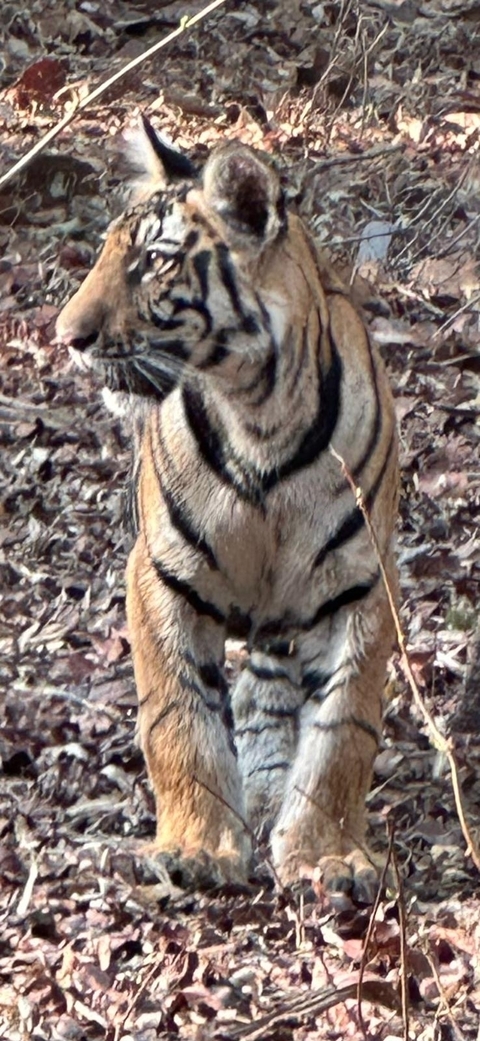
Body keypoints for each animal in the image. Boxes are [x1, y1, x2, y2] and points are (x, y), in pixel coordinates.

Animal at [55, 116, 398, 904]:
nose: (67, 336)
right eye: (106, 252)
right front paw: (197, 846)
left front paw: (328, 853)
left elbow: (343, 728)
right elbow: (180, 716)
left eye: (154, 262)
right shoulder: (160, 576)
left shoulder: (362, 585)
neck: (259, 415)